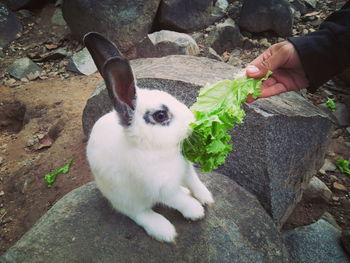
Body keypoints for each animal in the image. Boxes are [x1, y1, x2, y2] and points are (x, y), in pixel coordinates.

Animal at [84, 32, 213, 243]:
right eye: (160, 115)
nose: (192, 122)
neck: (156, 149)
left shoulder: (186, 171)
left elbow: (195, 183)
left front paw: (207, 199)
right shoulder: (162, 189)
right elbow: (180, 201)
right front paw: (196, 212)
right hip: (124, 198)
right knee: (138, 213)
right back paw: (163, 230)